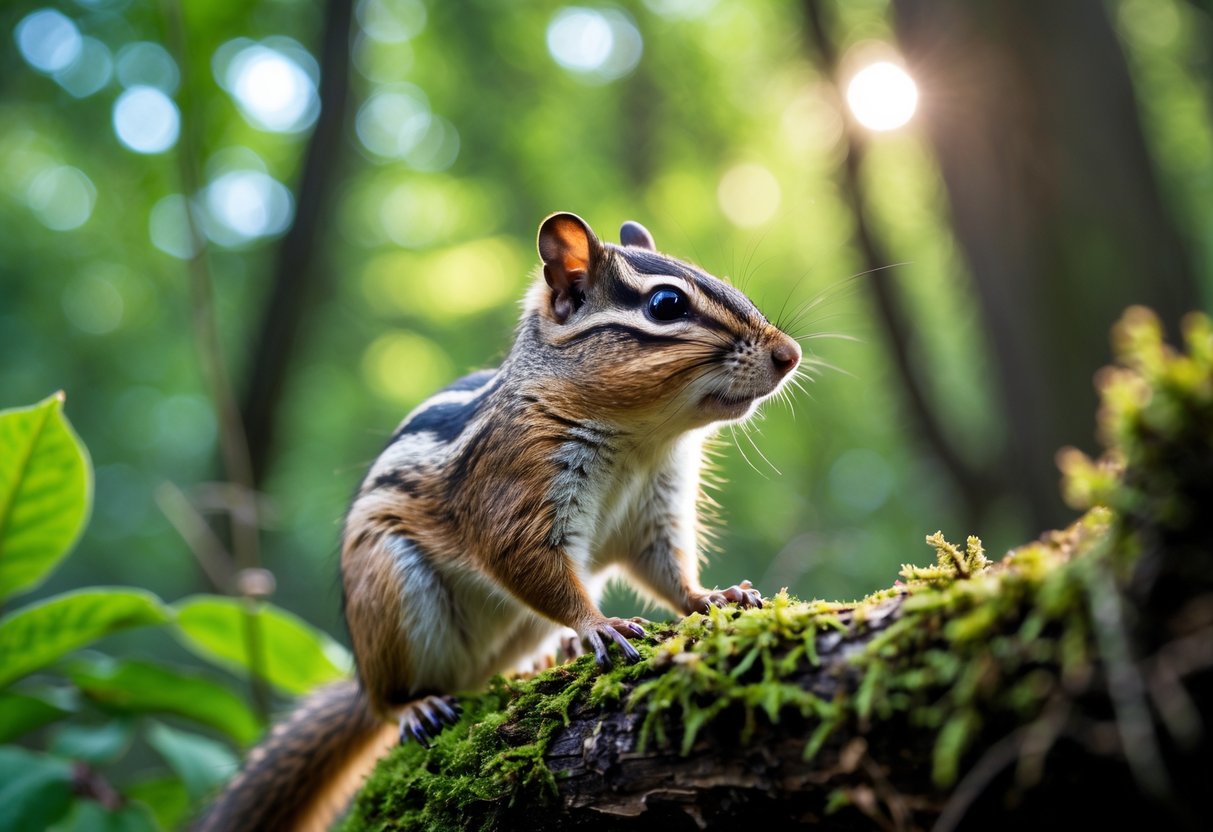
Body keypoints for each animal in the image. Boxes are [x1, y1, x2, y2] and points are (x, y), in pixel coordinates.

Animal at [201, 212, 802, 831]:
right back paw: (414, 704)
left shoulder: (656, 509)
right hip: (388, 588)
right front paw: (598, 625)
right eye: (666, 304)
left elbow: (666, 569)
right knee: (384, 702)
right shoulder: (515, 486)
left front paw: (715, 596)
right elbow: (524, 560)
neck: (643, 438)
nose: (791, 354)